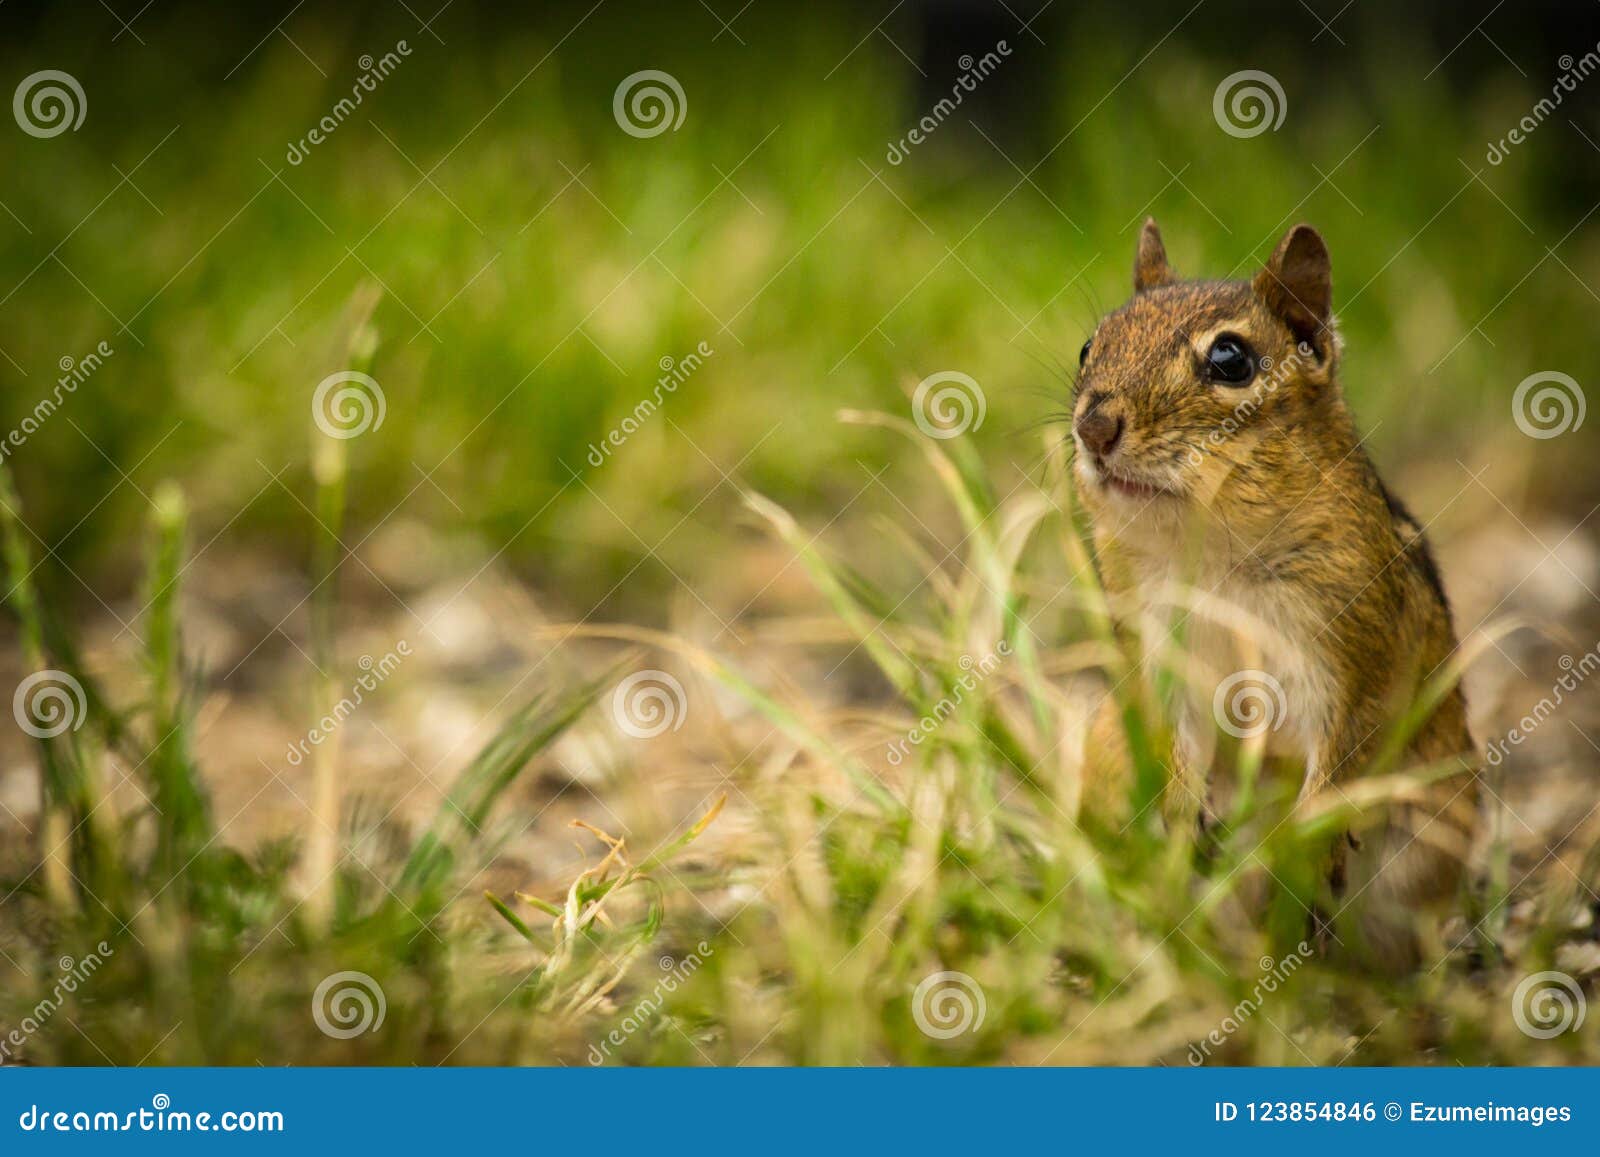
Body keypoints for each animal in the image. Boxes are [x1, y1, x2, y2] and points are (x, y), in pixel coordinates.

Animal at [1072, 218, 1479, 970]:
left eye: (1231, 359)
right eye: (1091, 346)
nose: (1093, 427)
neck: (1212, 554)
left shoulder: (1353, 656)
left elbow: (1343, 750)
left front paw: (1312, 839)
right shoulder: (1154, 653)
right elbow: (1172, 738)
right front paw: (1184, 810)